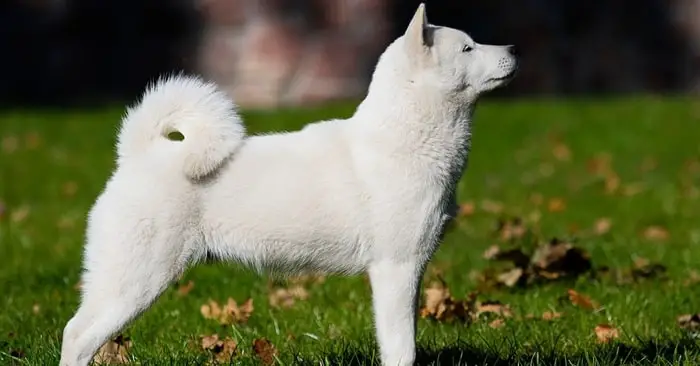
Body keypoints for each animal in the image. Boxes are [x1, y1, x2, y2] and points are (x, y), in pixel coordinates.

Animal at [60, 3, 516, 366]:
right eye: (467, 48)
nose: (513, 50)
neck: (404, 138)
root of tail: (137, 155)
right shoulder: (395, 268)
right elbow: (401, 349)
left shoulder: (410, 271)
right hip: (135, 280)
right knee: (78, 335)